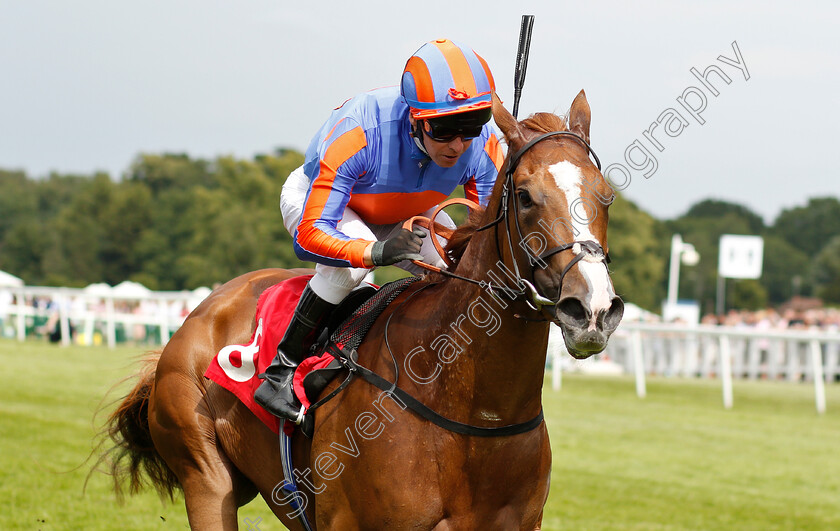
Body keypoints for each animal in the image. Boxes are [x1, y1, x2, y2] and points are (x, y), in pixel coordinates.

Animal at [100, 93, 624, 528]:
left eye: (607, 195)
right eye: (525, 196)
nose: (592, 310)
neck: (474, 413)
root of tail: (204, 309)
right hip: (207, 477)